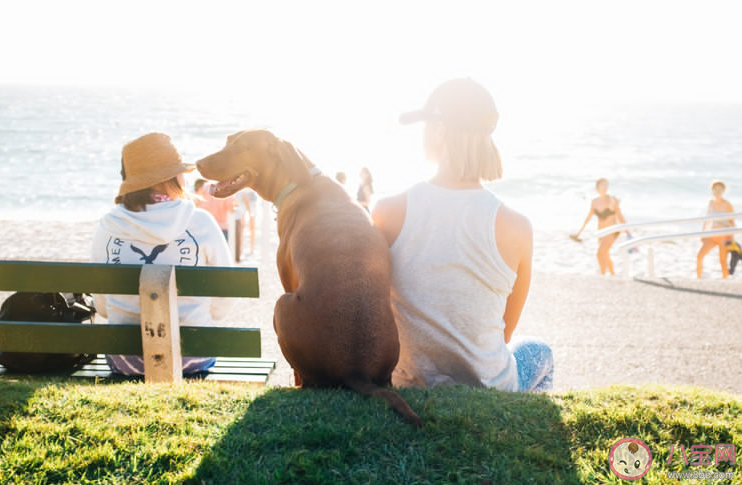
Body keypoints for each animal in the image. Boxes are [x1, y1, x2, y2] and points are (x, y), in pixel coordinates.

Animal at [198, 130, 424, 428]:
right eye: (227, 141)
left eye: (241, 147)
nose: (198, 163)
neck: (299, 180)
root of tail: (356, 369)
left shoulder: (287, 279)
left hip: (281, 305)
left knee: (305, 378)